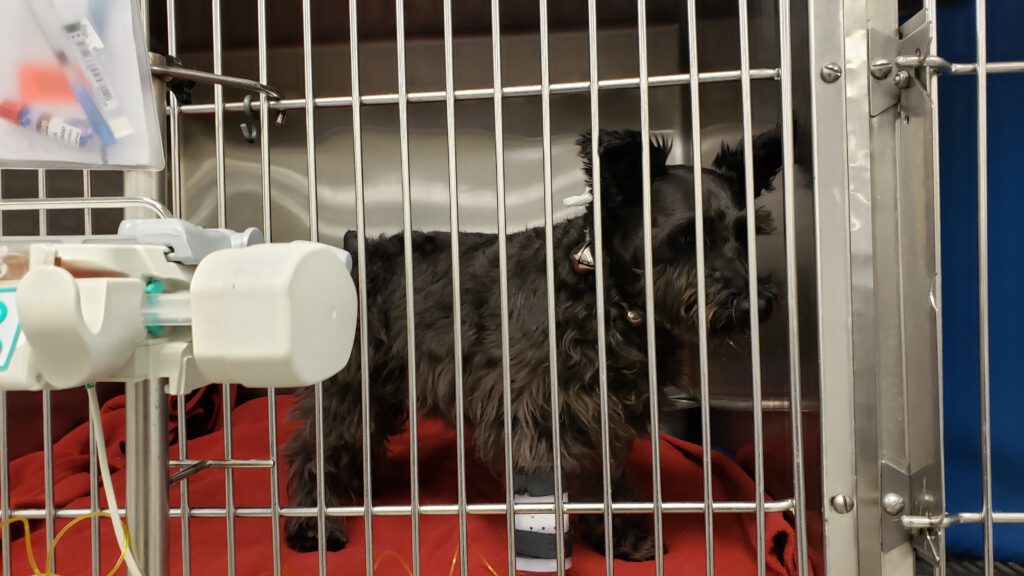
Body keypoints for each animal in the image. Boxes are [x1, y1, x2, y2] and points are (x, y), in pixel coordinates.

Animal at [284, 126, 778, 561]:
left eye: (745, 237)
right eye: (685, 238)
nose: (753, 304)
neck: (609, 298)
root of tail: (359, 251)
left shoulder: (607, 413)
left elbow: (607, 478)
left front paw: (623, 535)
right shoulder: (536, 413)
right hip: (348, 389)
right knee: (317, 449)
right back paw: (313, 524)